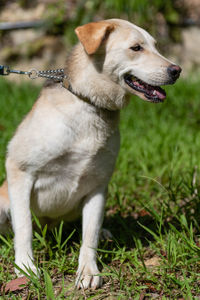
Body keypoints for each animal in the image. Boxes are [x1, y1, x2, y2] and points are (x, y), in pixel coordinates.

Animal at [0, 18, 181, 288]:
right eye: (136, 48)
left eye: (156, 46)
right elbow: (23, 228)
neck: (89, 104)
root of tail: (50, 229)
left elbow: (90, 235)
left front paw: (88, 271)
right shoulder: (20, 170)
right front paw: (25, 266)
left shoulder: (97, 186)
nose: (177, 70)